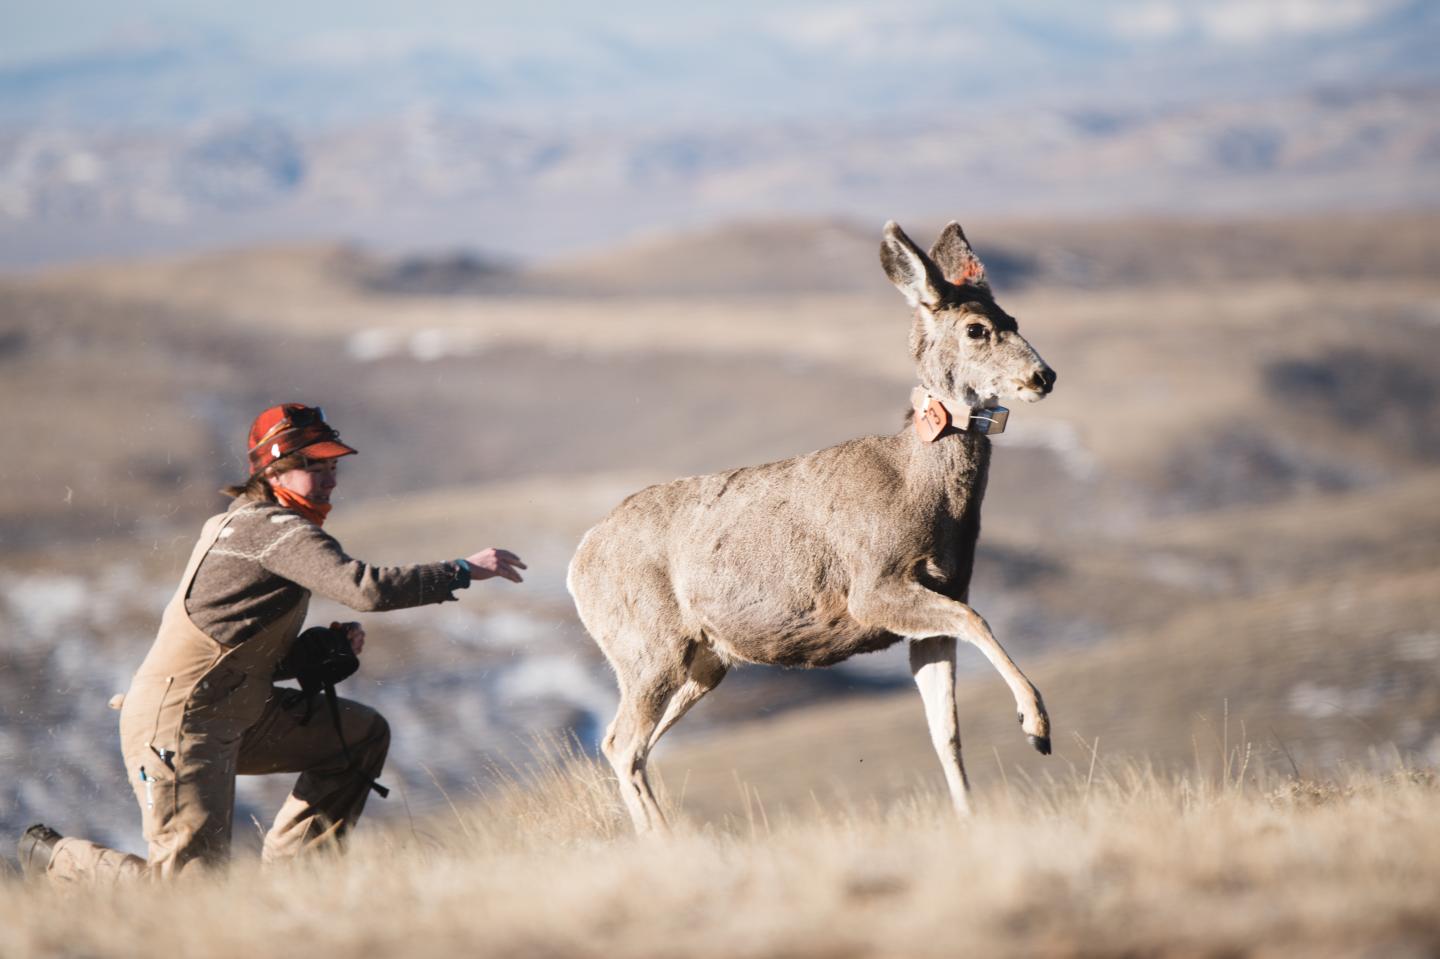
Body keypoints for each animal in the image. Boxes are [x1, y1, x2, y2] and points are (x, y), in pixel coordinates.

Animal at [567, 218, 1054, 829]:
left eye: (1015, 319)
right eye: (977, 329)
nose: (1044, 375)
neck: (918, 487)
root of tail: (576, 562)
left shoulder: (940, 597)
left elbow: (945, 728)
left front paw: (970, 816)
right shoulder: (874, 588)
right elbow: (977, 621)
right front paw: (1037, 727)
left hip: (703, 662)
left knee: (629, 743)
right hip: (647, 646)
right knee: (621, 742)